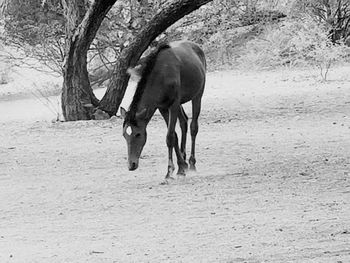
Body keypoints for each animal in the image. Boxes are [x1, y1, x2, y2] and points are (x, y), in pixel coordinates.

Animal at [121, 40, 206, 184]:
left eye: (138, 134)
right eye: (124, 135)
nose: (131, 165)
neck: (161, 74)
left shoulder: (173, 105)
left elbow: (169, 137)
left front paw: (170, 171)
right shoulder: (162, 108)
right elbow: (174, 136)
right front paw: (181, 167)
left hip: (197, 96)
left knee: (193, 127)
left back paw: (192, 163)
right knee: (183, 122)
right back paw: (185, 160)